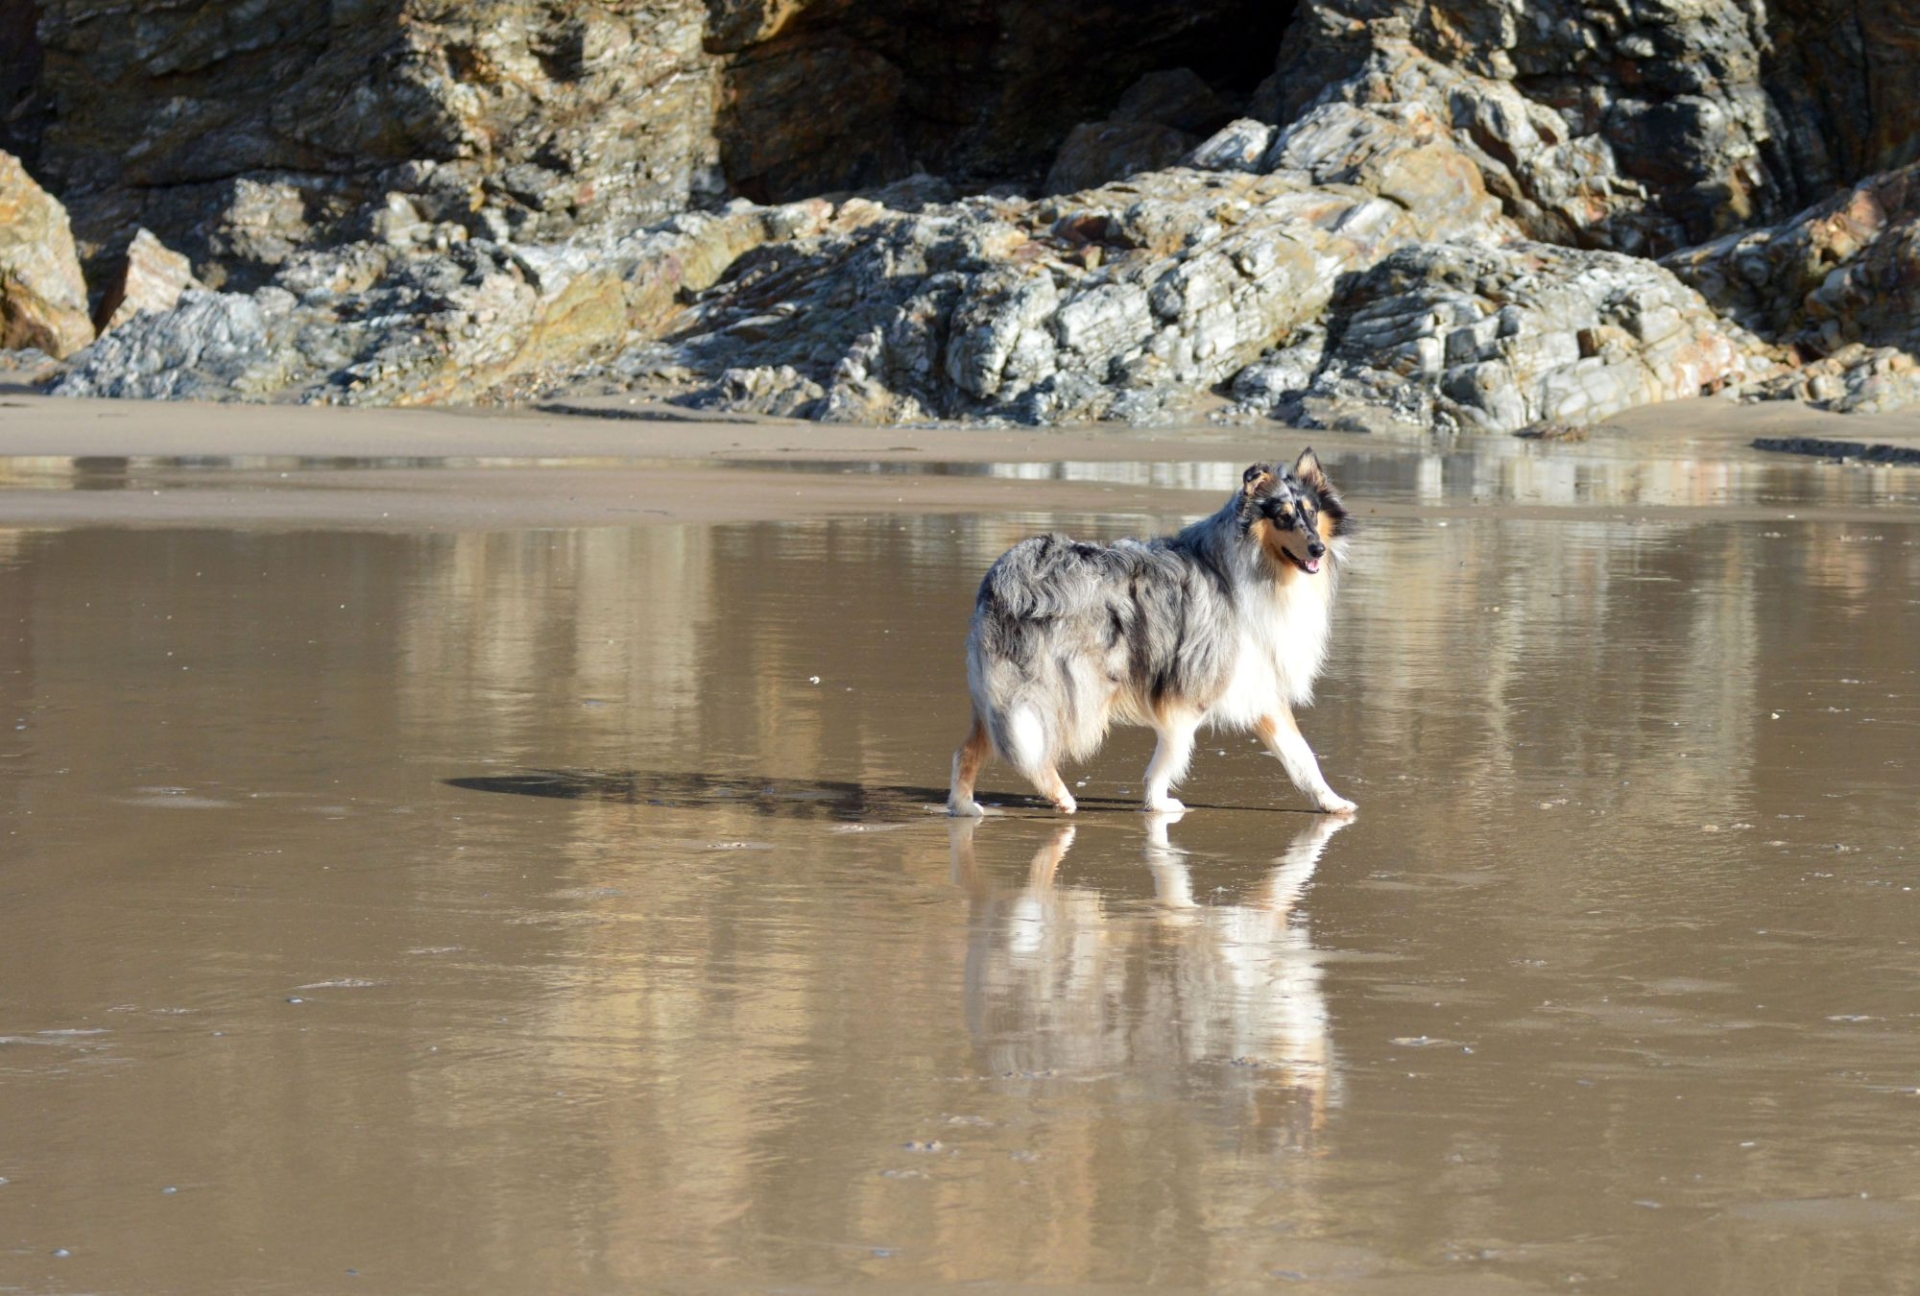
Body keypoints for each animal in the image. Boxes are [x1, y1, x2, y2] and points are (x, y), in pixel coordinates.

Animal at [952, 451, 1359, 817]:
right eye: (1283, 517)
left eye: (1312, 513)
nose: (1318, 549)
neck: (1259, 568)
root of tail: (1004, 574)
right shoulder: (1194, 685)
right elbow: (1174, 751)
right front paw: (1158, 802)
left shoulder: (1258, 683)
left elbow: (1299, 753)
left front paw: (1332, 802)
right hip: (1068, 688)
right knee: (1032, 750)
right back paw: (1060, 797)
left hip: (1004, 694)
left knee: (970, 749)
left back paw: (963, 806)